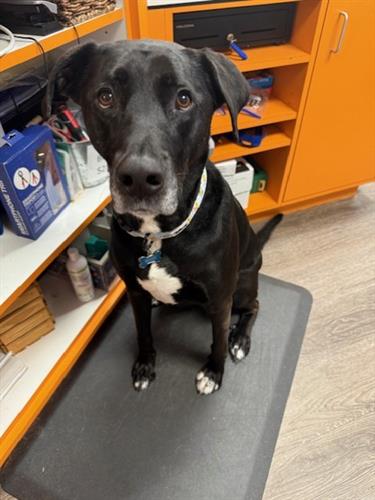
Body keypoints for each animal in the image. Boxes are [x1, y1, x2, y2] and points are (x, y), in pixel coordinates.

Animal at [47, 40, 282, 394]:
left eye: (183, 99)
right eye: (106, 96)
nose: (139, 178)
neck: (158, 235)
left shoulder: (220, 298)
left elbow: (217, 339)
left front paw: (214, 372)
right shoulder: (134, 292)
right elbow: (143, 333)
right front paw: (145, 366)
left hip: (241, 287)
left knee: (254, 306)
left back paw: (240, 339)